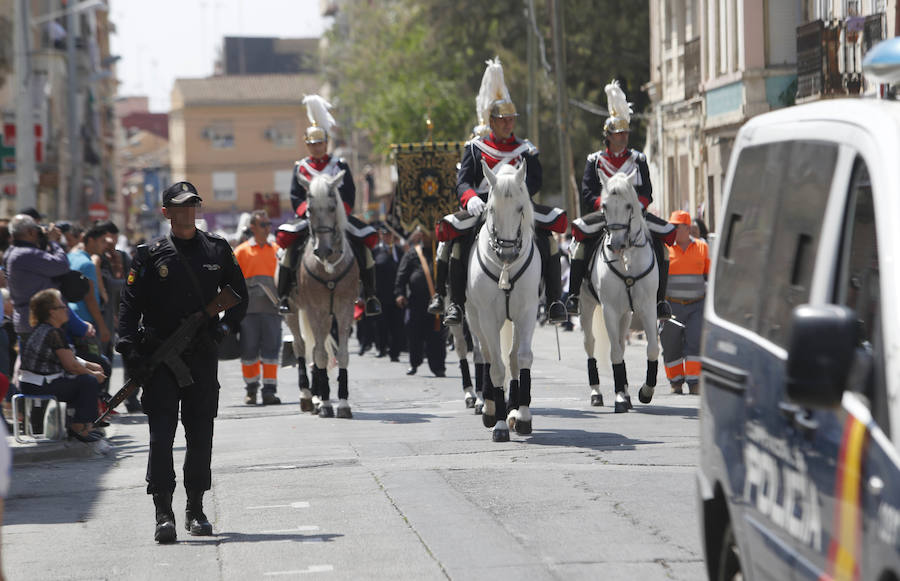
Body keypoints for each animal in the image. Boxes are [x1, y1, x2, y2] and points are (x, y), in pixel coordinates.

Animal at [464, 159, 540, 440]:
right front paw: (498, 424)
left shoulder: (527, 312)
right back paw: (489, 408)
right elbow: (496, 366)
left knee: (511, 357)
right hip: (474, 318)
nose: (507, 253)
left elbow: (522, 358)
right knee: (485, 355)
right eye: (491, 209)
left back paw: (511, 410)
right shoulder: (487, 316)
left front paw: (523, 415)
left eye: (520, 208)